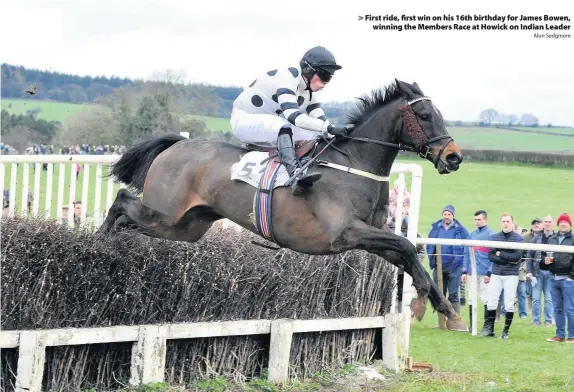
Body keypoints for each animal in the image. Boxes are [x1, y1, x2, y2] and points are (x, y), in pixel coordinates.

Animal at [99, 79, 468, 330]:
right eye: (424, 115)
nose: (454, 157)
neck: (354, 165)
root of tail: (175, 144)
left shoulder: (369, 237)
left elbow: (407, 253)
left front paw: (446, 310)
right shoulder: (345, 232)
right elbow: (406, 245)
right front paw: (423, 302)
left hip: (186, 226)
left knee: (131, 219)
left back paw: (115, 244)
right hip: (166, 212)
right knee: (122, 201)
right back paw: (100, 243)